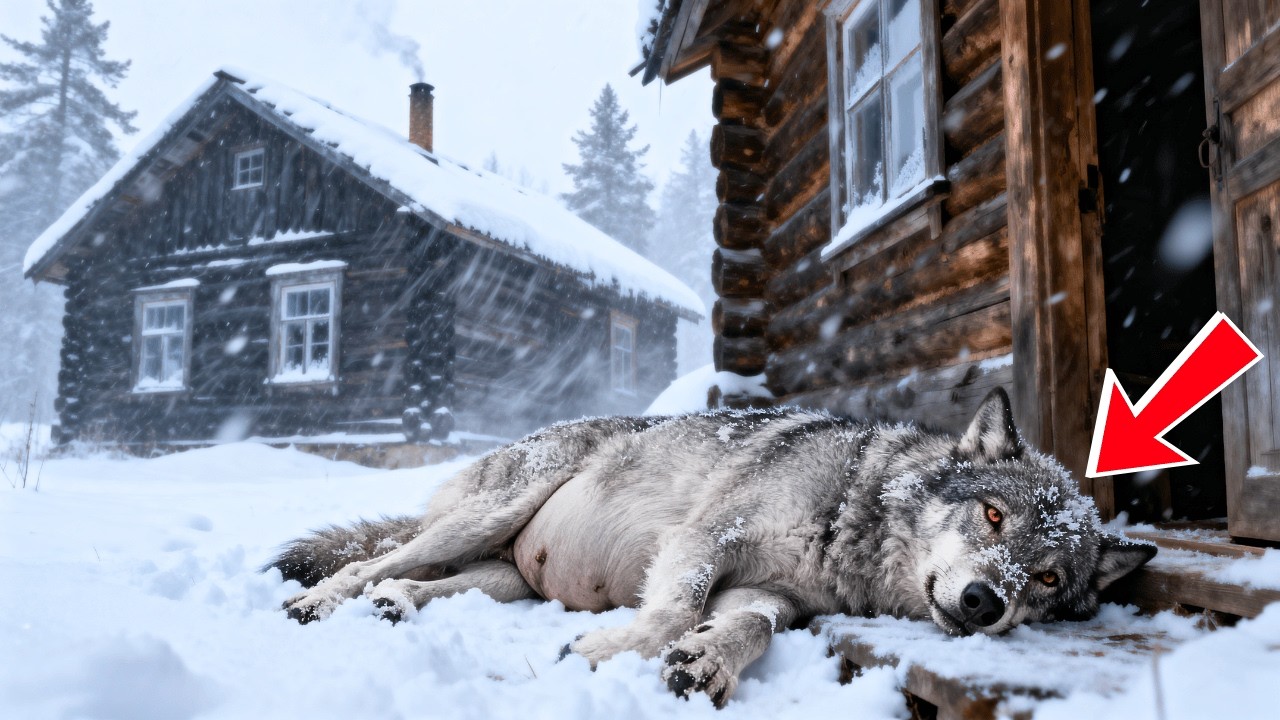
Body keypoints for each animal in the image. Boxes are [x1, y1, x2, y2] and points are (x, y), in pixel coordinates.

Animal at [270, 389, 1154, 707]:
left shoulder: (770, 594)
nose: (983, 602)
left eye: (1048, 579)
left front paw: (705, 663)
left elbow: (745, 628)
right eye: (994, 517)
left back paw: (393, 607)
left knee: (420, 582)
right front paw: (606, 653)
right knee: (369, 560)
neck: (850, 518)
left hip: (508, 578)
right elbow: (670, 612)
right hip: (485, 517)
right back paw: (320, 602)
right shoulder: (705, 539)